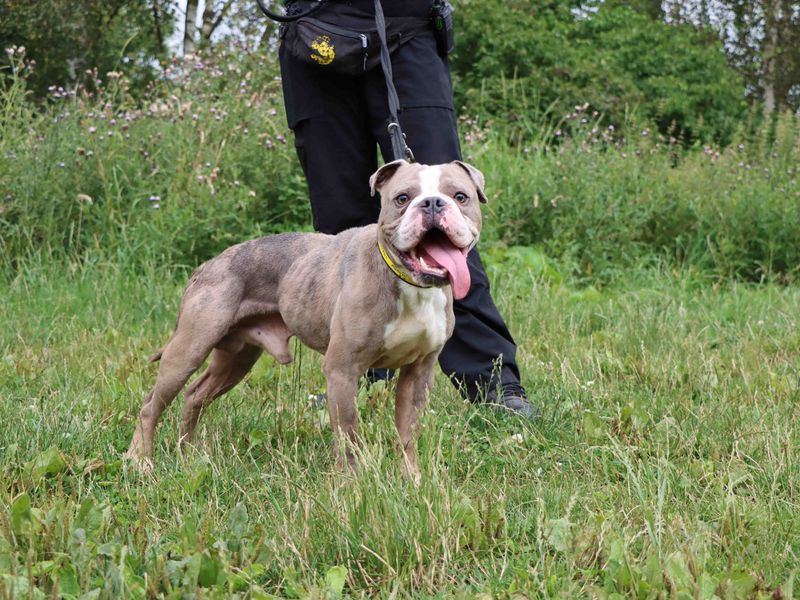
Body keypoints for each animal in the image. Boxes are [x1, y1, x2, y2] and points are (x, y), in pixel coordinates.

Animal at [125, 158, 488, 478]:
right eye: (402, 198)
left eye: (460, 196)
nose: (432, 203)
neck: (410, 284)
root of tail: (207, 265)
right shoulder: (342, 370)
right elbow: (348, 438)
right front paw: (353, 486)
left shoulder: (418, 373)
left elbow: (407, 436)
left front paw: (411, 480)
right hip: (188, 349)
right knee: (151, 404)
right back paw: (140, 460)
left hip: (235, 360)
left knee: (195, 395)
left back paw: (187, 451)